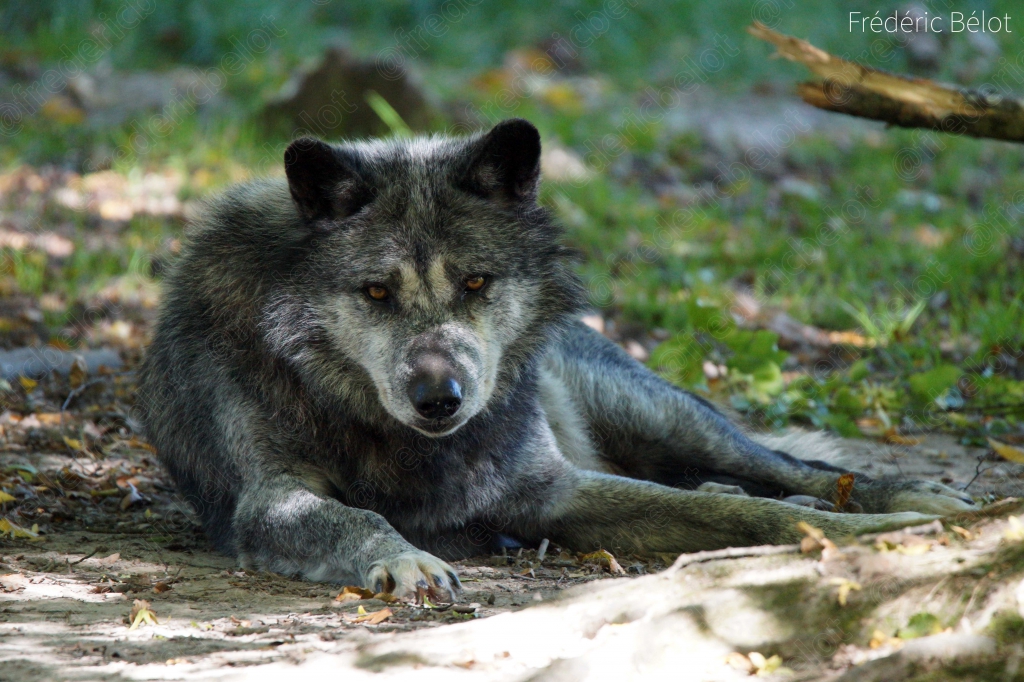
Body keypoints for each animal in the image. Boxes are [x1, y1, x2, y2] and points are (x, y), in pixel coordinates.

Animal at [139, 119, 977, 601]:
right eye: (376, 291)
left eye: (476, 283)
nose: (439, 397)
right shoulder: (268, 500)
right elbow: (355, 515)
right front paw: (405, 559)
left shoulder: (555, 491)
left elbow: (749, 512)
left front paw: (890, 529)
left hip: (664, 418)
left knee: (788, 467)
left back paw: (916, 496)